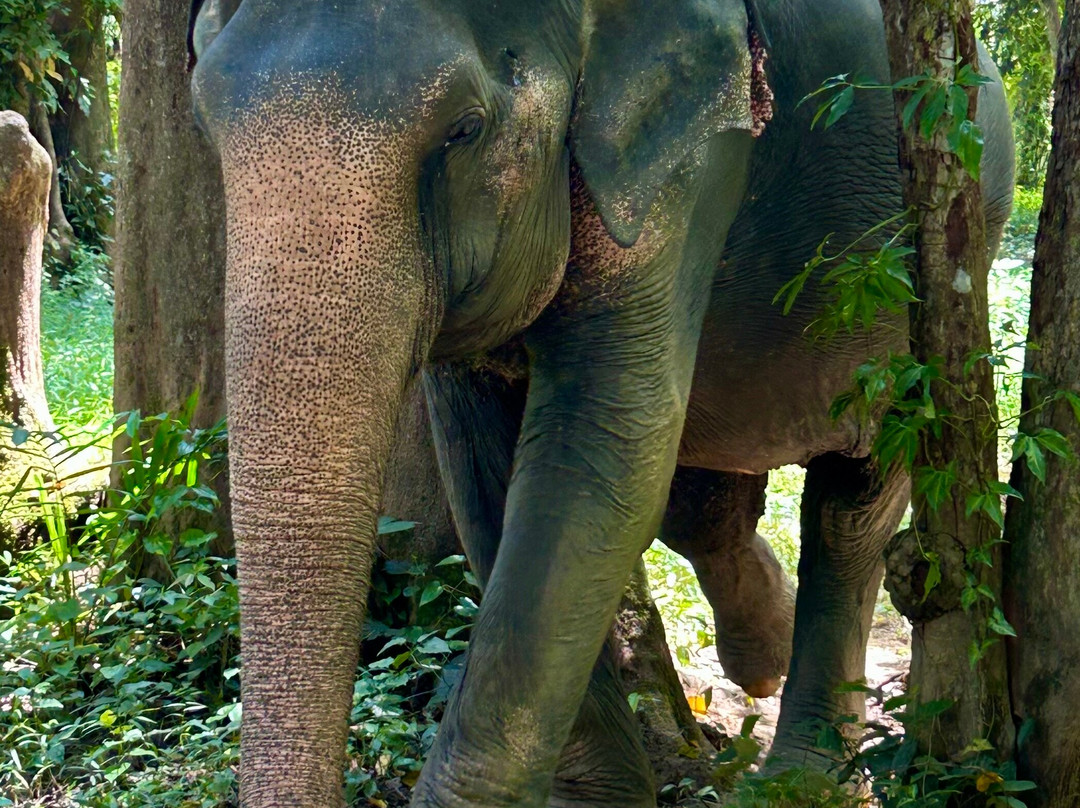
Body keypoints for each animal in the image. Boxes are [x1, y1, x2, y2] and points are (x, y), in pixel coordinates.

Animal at [186, 0, 1015, 805]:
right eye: (205, 125)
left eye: (465, 130)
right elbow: (489, 482)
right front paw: (594, 797)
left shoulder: (687, 166)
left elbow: (593, 466)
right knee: (705, 505)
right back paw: (763, 659)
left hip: (939, 258)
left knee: (855, 500)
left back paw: (802, 780)